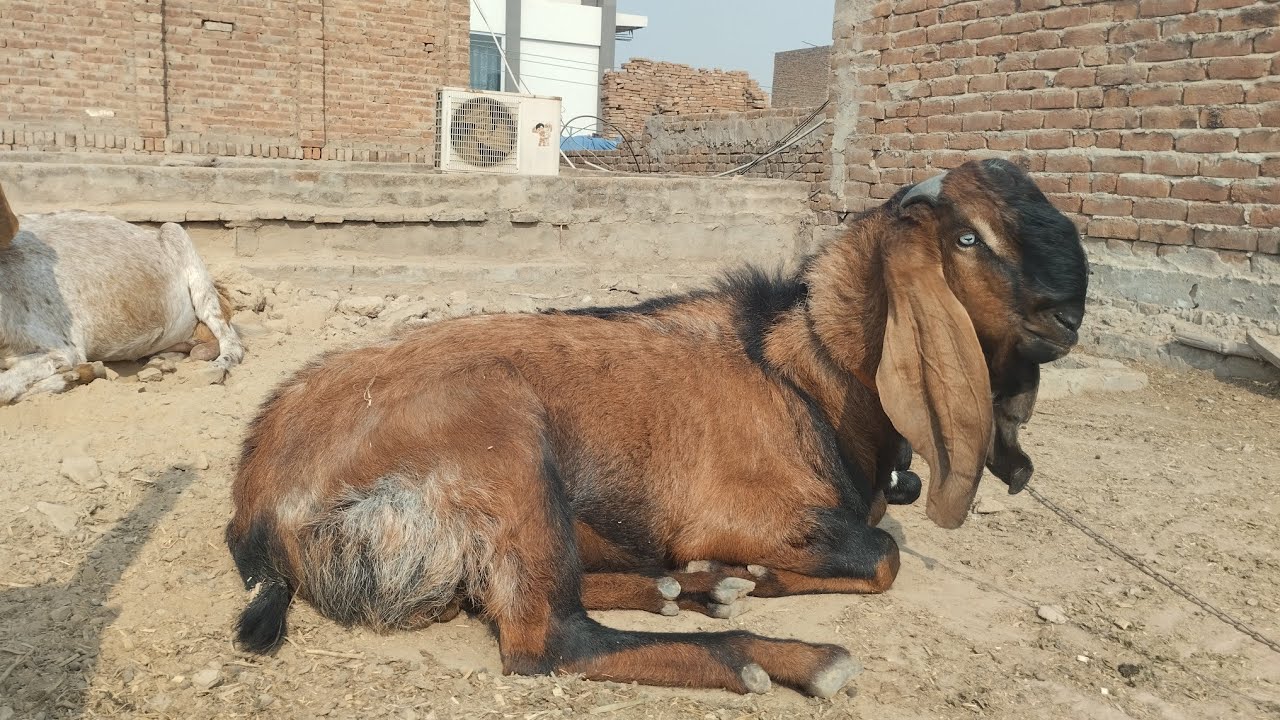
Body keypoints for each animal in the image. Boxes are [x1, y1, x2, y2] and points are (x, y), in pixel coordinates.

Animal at [0, 181, 244, 404]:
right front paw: (78, 375)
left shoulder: (62, 348)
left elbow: (5, 389)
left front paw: (77, 375)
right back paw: (162, 361)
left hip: (177, 236)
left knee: (232, 342)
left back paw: (216, 368)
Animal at [226, 159, 1087, 697]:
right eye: (970, 238)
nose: (1069, 314)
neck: (802, 373)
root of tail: (259, 489)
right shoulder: (741, 510)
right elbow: (884, 555)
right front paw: (762, 579)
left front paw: (738, 578)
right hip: (504, 435)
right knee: (553, 639)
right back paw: (785, 655)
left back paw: (696, 587)